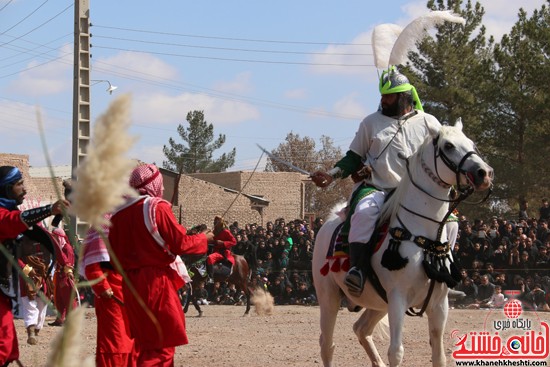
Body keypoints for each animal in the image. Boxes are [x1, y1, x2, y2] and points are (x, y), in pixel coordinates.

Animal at [314, 119, 496, 366]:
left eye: (471, 143)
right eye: (448, 146)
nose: (484, 173)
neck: (423, 233)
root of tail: (331, 219)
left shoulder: (439, 304)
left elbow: (439, 355)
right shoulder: (398, 298)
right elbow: (396, 352)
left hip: (378, 303)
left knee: (361, 329)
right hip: (329, 297)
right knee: (327, 345)